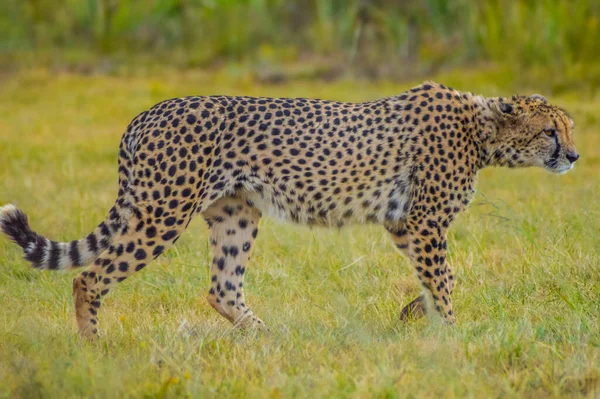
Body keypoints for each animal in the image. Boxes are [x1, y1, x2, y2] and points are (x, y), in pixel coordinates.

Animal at [1, 82, 580, 340]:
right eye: (551, 131)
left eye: (569, 129)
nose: (575, 156)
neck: (482, 131)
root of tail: (148, 111)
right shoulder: (422, 223)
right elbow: (444, 279)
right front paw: (451, 336)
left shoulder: (403, 224)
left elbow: (443, 277)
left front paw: (415, 315)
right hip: (162, 212)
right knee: (89, 277)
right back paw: (94, 346)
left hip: (235, 214)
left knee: (221, 287)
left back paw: (268, 338)